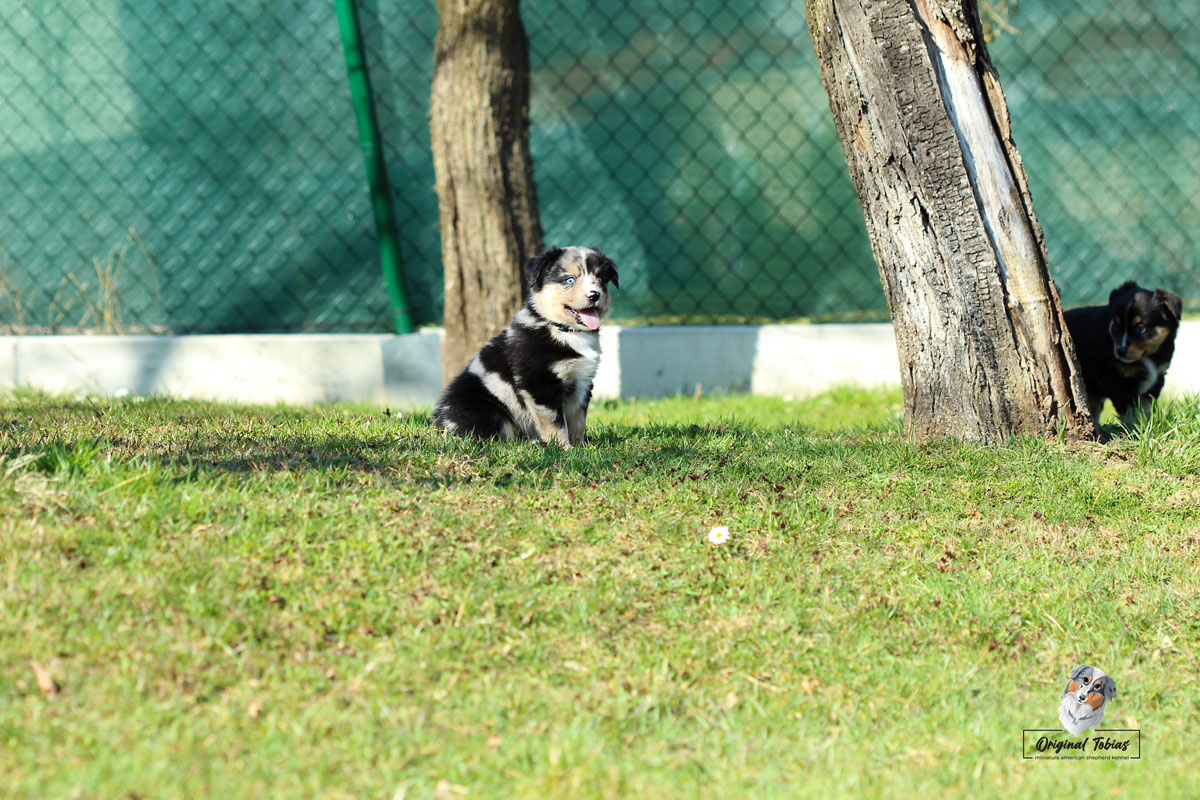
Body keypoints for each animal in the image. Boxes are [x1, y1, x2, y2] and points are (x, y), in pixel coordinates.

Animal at [432, 246, 618, 446]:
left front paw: (581, 446)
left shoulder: (582, 380)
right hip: (487, 410)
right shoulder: (539, 382)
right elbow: (555, 420)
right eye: (569, 279)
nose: (595, 294)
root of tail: (441, 422)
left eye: (601, 279)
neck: (564, 330)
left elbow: (578, 418)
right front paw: (563, 447)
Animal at [1063, 281, 1182, 426]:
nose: (1120, 351)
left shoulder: (1157, 378)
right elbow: (1129, 411)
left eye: (1140, 328)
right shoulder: (1116, 381)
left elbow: (1146, 407)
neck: (1148, 356)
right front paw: (1134, 428)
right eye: (1117, 326)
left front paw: (1147, 425)